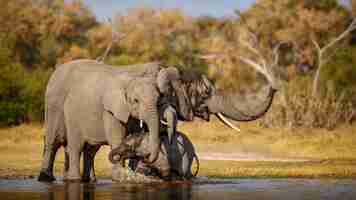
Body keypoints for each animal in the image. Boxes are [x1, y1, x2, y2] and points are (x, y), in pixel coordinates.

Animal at [38, 59, 193, 181]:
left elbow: (142, 137)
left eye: (161, 97)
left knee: (89, 149)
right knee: (56, 142)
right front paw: (121, 177)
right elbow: (118, 138)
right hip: (55, 105)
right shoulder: (111, 111)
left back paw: (88, 180)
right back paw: (51, 179)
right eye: (135, 101)